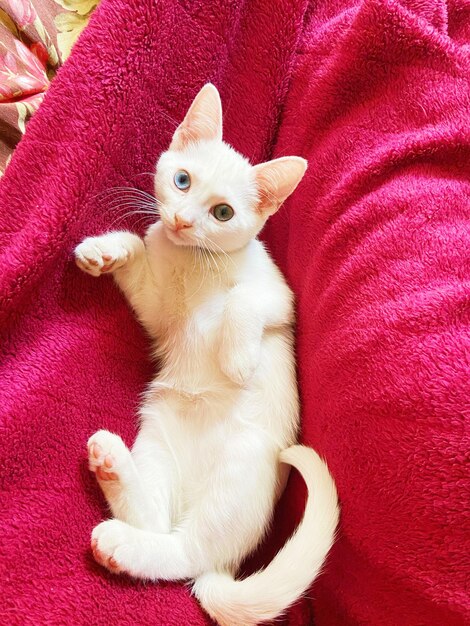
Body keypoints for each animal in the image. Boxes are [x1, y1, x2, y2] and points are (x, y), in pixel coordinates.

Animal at [75, 84, 340, 624]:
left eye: (223, 214)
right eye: (182, 181)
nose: (180, 220)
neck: (193, 263)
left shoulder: (282, 299)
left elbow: (243, 300)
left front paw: (237, 359)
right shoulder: (157, 310)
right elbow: (138, 248)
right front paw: (104, 250)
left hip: (236, 476)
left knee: (184, 555)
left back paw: (121, 542)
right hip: (157, 441)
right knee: (157, 523)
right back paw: (111, 463)